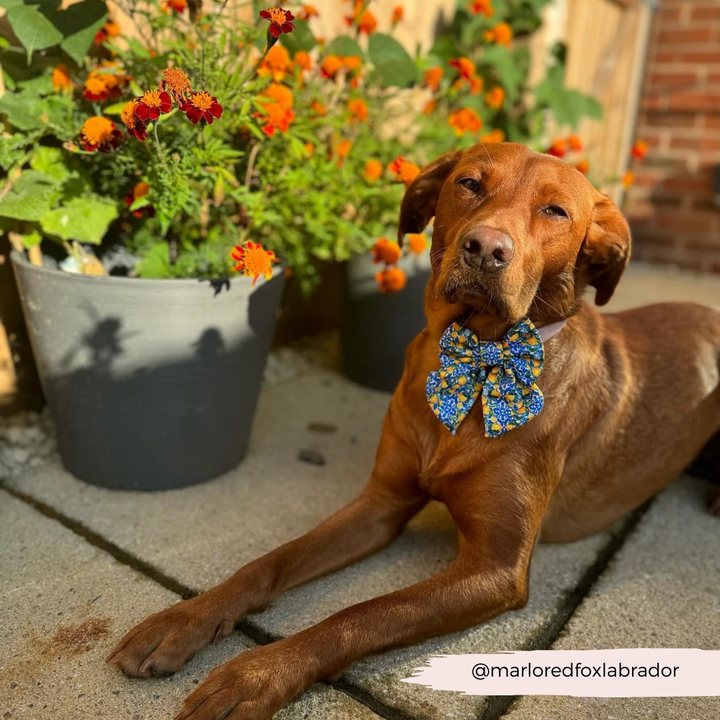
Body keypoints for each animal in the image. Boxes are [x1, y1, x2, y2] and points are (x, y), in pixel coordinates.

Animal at [105, 143, 720, 716]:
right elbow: (268, 563)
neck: (474, 354)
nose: (486, 248)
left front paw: (254, 676)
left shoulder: (496, 569)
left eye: (556, 211)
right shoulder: (380, 504)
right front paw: (186, 618)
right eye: (469, 183)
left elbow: (362, 614)